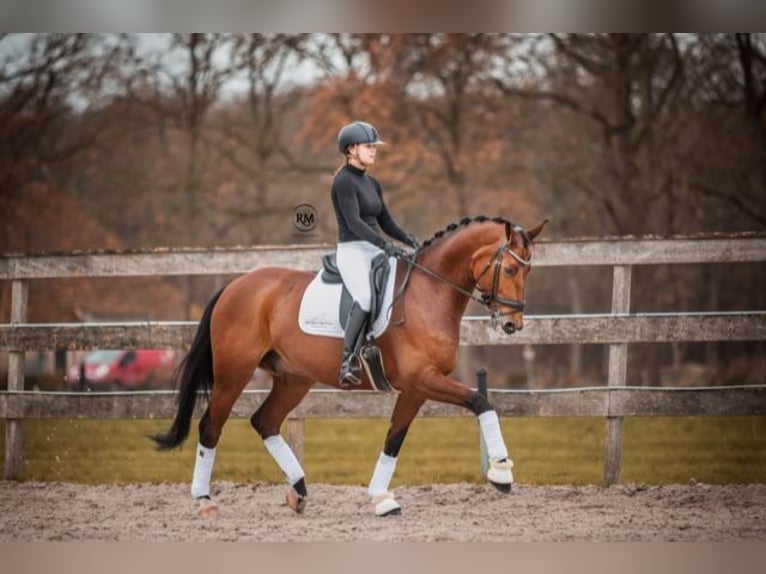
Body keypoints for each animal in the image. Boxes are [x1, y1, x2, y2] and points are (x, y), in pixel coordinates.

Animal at [152, 215, 544, 516]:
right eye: (511, 269)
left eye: (529, 273)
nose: (513, 325)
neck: (429, 293)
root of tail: (235, 286)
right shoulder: (423, 380)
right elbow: (481, 402)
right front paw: (501, 473)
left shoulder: (416, 388)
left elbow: (394, 440)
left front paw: (381, 498)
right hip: (234, 374)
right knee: (210, 426)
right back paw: (205, 500)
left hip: (293, 379)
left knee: (265, 421)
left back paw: (299, 491)